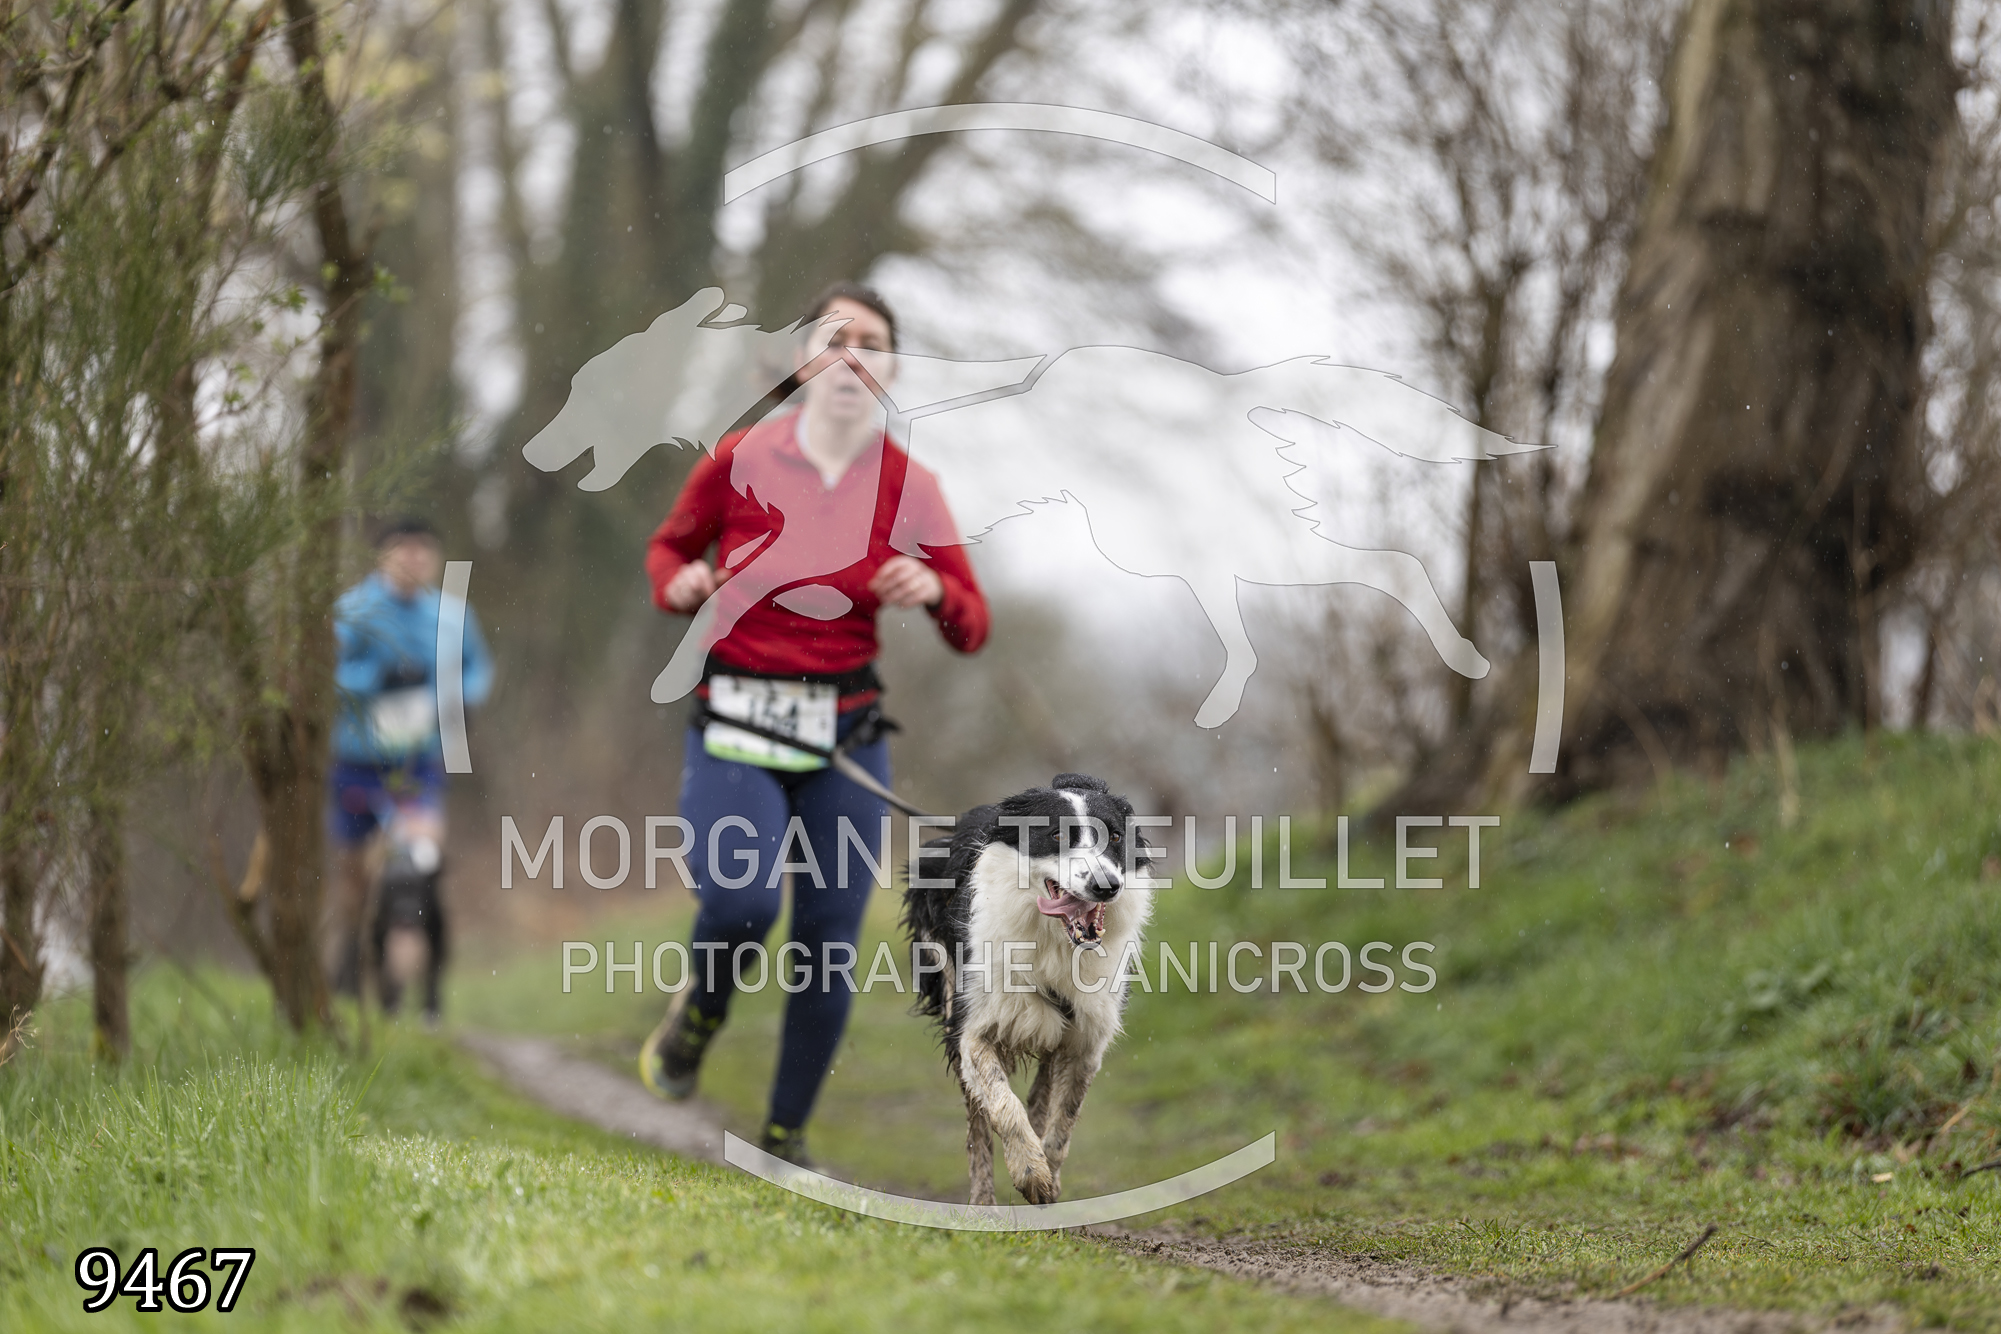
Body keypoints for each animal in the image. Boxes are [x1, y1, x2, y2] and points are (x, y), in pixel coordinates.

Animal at [901, 773, 1155, 1205]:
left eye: (1117, 837)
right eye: (1057, 834)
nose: (1107, 885)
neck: (1054, 940)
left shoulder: (1086, 1039)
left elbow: (1063, 1120)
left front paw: (1047, 1177)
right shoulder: (973, 1030)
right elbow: (1003, 1105)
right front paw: (1030, 1172)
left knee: (1041, 1093)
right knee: (978, 1125)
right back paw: (983, 1203)